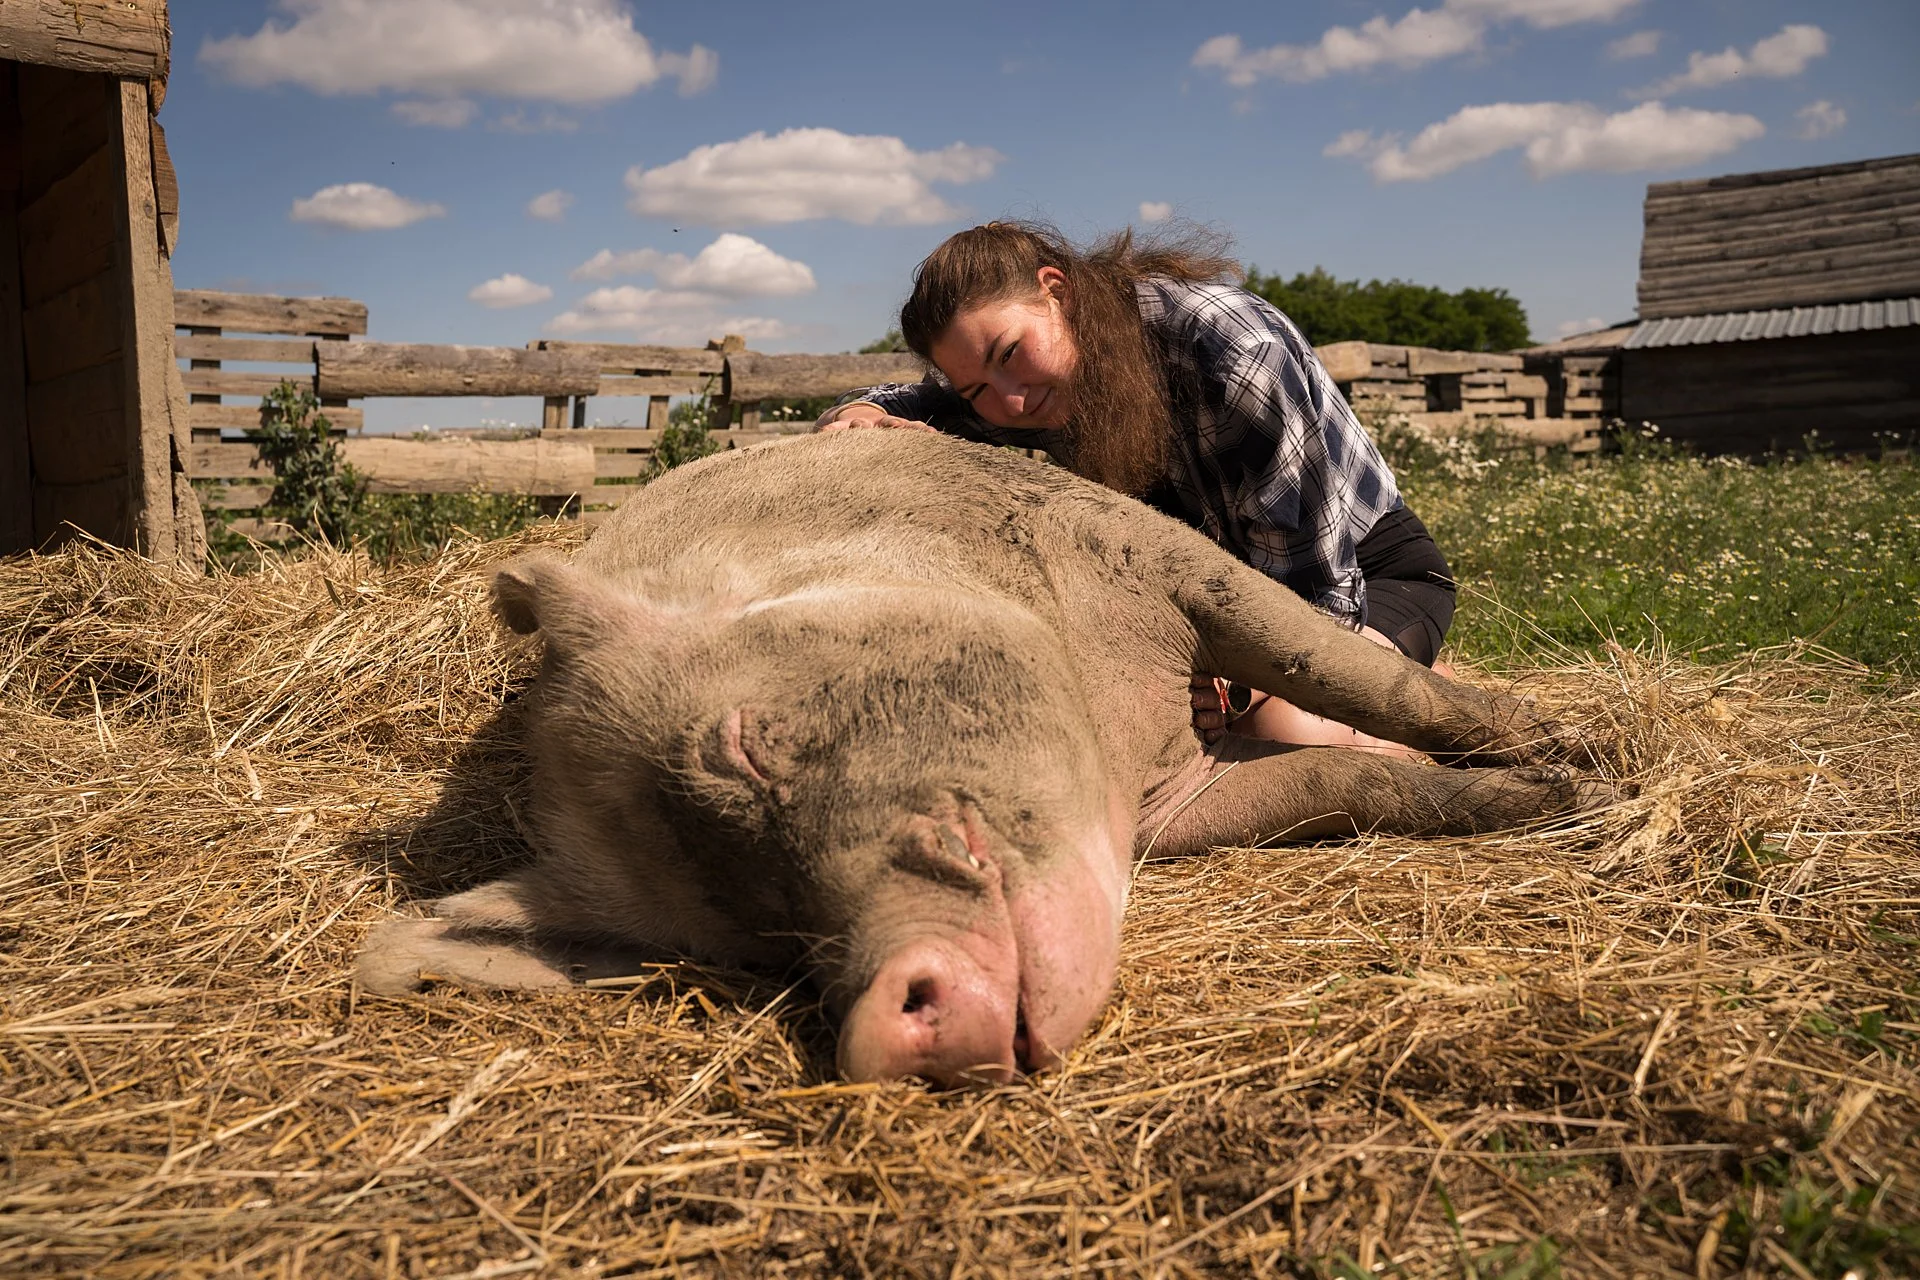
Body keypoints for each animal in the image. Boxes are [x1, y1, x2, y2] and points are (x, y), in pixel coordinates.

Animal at [358, 430, 1601, 1084]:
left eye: (743, 747)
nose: (877, 1019)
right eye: (759, 949)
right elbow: (1339, 782)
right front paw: (1546, 790)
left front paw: (1575, 764)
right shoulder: (1172, 809)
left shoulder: (1151, 552)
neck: (1120, 728)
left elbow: (1347, 673)